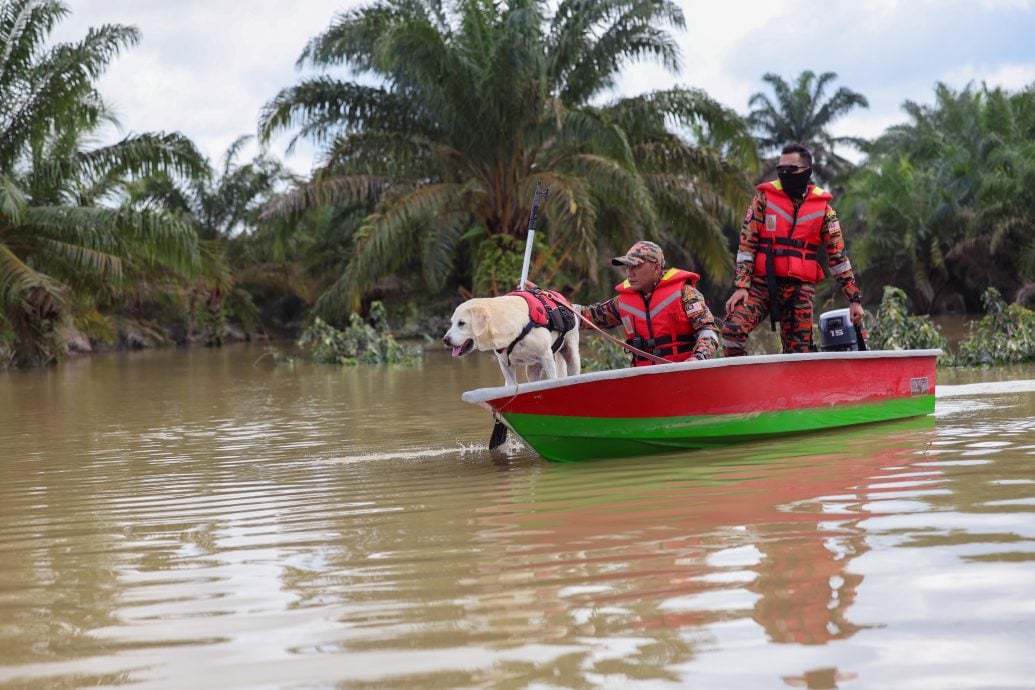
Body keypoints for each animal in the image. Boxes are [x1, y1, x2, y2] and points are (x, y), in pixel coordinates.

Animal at [440, 293, 579, 386]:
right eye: (452, 323)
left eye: (461, 323)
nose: (445, 340)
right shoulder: (505, 365)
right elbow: (511, 384)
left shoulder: (546, 357)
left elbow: (552, 379)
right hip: (532, 368)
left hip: (571, 354)